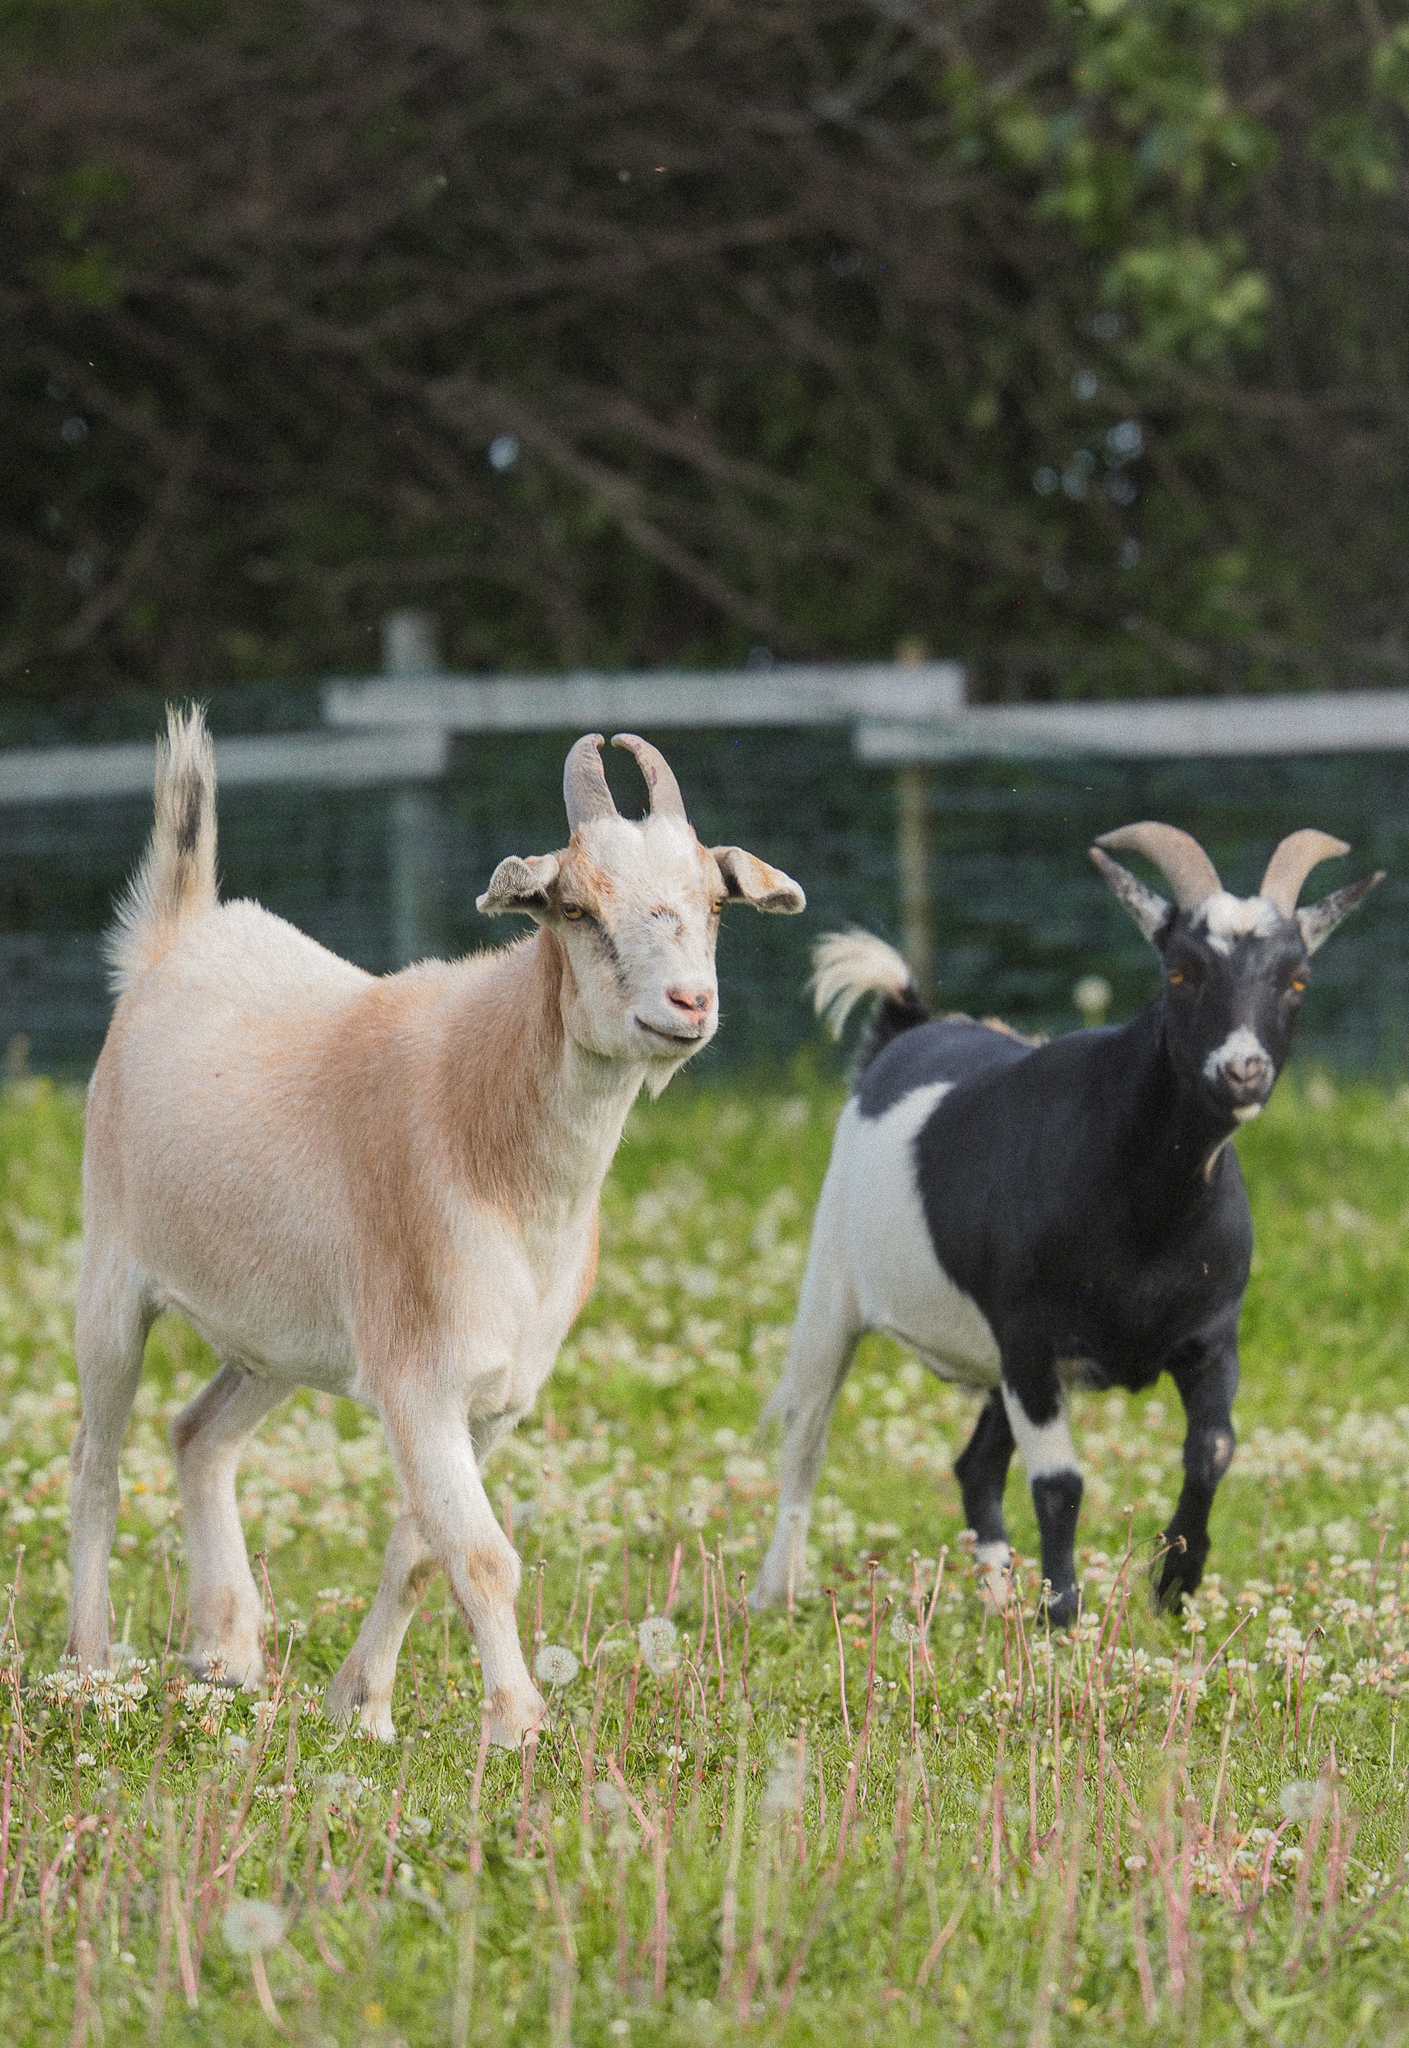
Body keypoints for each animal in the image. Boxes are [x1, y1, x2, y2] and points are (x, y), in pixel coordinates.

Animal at [67, 708, 803, 1744]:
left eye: (715, 903)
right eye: (575, 909)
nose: (688, 1005)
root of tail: (177, 939)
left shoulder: (495, 1397)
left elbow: (421, 1549)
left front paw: (360, 1706)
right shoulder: (420, 1379)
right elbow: (482, 1552)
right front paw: (516, 1722)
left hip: (277, 1337)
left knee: (197, 1432)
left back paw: (224, 1652)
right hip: (112, 1275)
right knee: (97, 1463)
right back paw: (89, 1668)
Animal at [754, 823, 1379, 1622]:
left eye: (1296, 979)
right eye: (1180, 972)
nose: (1241, 1072)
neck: (1146, 1217)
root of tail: (904, 1027)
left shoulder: (1209, 1336)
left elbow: (1212, 1449)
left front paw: (1174, 1582)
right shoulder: (1030, 1337)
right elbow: (1059, 1483)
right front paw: (1063, 1614)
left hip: (993, 1359)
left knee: (974, 1466)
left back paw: (996, 1598)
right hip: (834, 1283)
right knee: (806, 1430)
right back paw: (776, 1591)